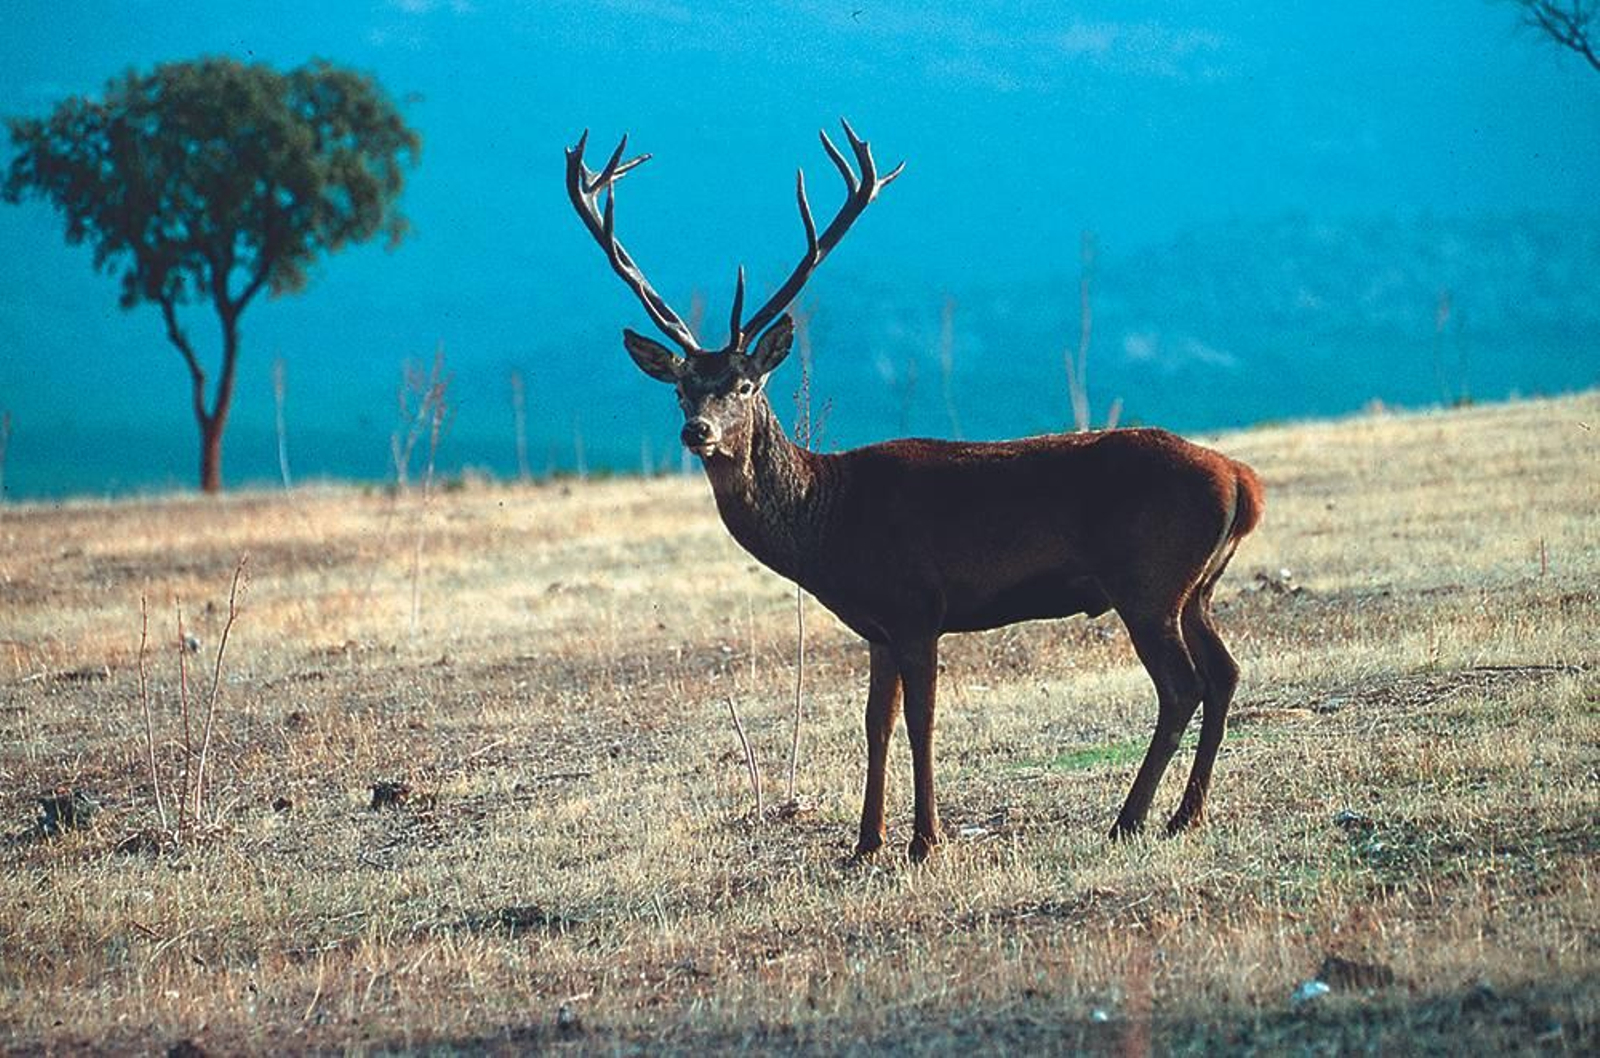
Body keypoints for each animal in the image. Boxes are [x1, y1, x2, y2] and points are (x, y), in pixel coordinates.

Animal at [565, 121, 1264, 861]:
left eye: (746, 384)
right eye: (681, 387)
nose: (695, 431)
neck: (830, 522)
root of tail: (1242, 481)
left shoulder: (917, 605)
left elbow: (921, 720)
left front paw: (925, 839)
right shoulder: (876, 625)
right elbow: (876, 722)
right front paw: (866, 840)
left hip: (1147, 579)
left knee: (1182, 685)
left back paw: (1131, 818)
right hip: (1196, 586)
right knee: (1224, 674)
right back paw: (1185, 814)